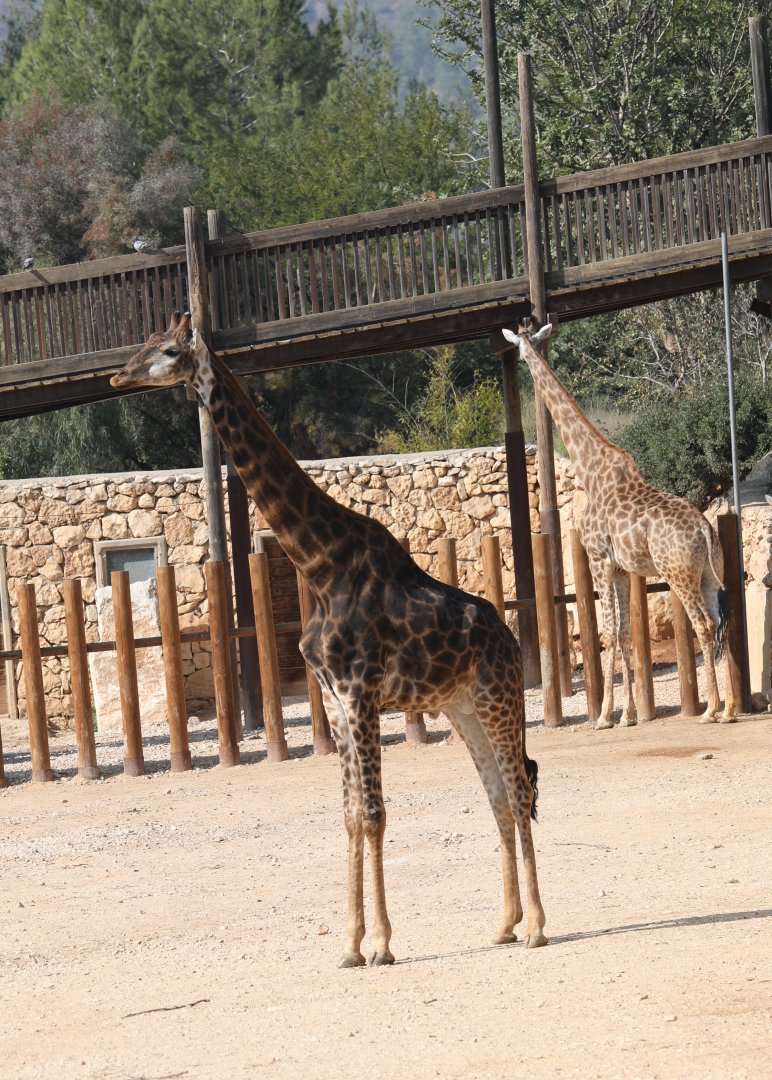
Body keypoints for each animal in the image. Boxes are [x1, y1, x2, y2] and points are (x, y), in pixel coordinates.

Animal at [111, 312, 548, 964]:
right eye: (142, 344)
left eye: (166, 351)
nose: (117, 377)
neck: (318, 564)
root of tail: (509, 638)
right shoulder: (337, 702)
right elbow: (348, 816)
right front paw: (350, 944)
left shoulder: (361, 693)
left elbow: (373, 814)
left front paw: (383, 944)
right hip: (463, 706)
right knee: (496, 792)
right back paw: (503, 924)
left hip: (499, 697)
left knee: (519, 790)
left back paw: (539, 925)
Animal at [502, 320, 735, 728]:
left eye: (520, 349)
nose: (524, 359)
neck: (590, 469)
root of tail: (705, 531)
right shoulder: (623, 568)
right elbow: (625, 633)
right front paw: (627, 714)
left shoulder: (598, 558)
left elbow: (608, 633)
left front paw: (604, 716)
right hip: (709, 571)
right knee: (724, 621)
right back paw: (732, 708)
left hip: (678, 574)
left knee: (704, 626)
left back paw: (711, 711)